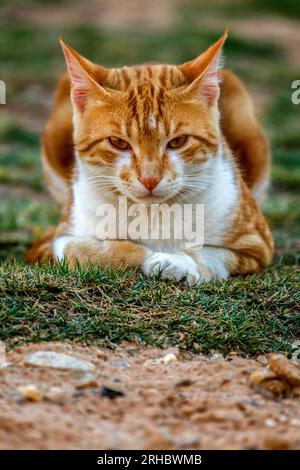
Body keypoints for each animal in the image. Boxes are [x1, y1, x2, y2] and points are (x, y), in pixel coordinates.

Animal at [27, 32, 274, 286]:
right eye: (118, 143)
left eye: (178, 141)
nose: (150, 179)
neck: (152, 213)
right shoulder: (57, 237)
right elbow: (83, 249)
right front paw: (147, 255)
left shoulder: (257, 243)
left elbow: (210, 252)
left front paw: (175, 261)